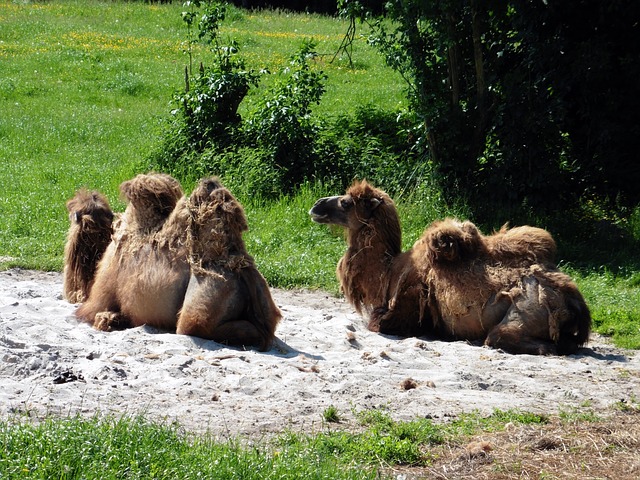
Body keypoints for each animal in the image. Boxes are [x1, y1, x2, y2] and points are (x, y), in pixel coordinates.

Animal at [308, 182, 592, 354]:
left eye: (346, 202)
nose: (316, 205)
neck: (388, 272)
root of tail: (574, 300)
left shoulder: (402, 307)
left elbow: (379, 323)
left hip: (526, 309)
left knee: (503, 337)